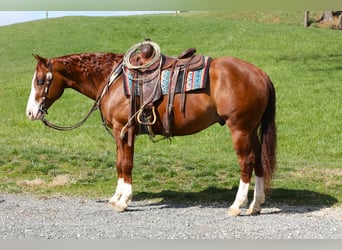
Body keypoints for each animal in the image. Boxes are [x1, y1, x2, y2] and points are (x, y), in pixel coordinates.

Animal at [26, 51, 278, 217]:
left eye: (39, 80)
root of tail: (260, 74)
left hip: (240, 129)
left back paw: (237, 205)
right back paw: (255, 205)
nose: (30, 112)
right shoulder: (119, 133)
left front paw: (124, 201)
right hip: (251, 130)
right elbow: (119, 164)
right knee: (258, 162)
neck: (113, 80)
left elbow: (126, 164)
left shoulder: (124, 130)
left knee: (246, 162)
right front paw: (115, 198)